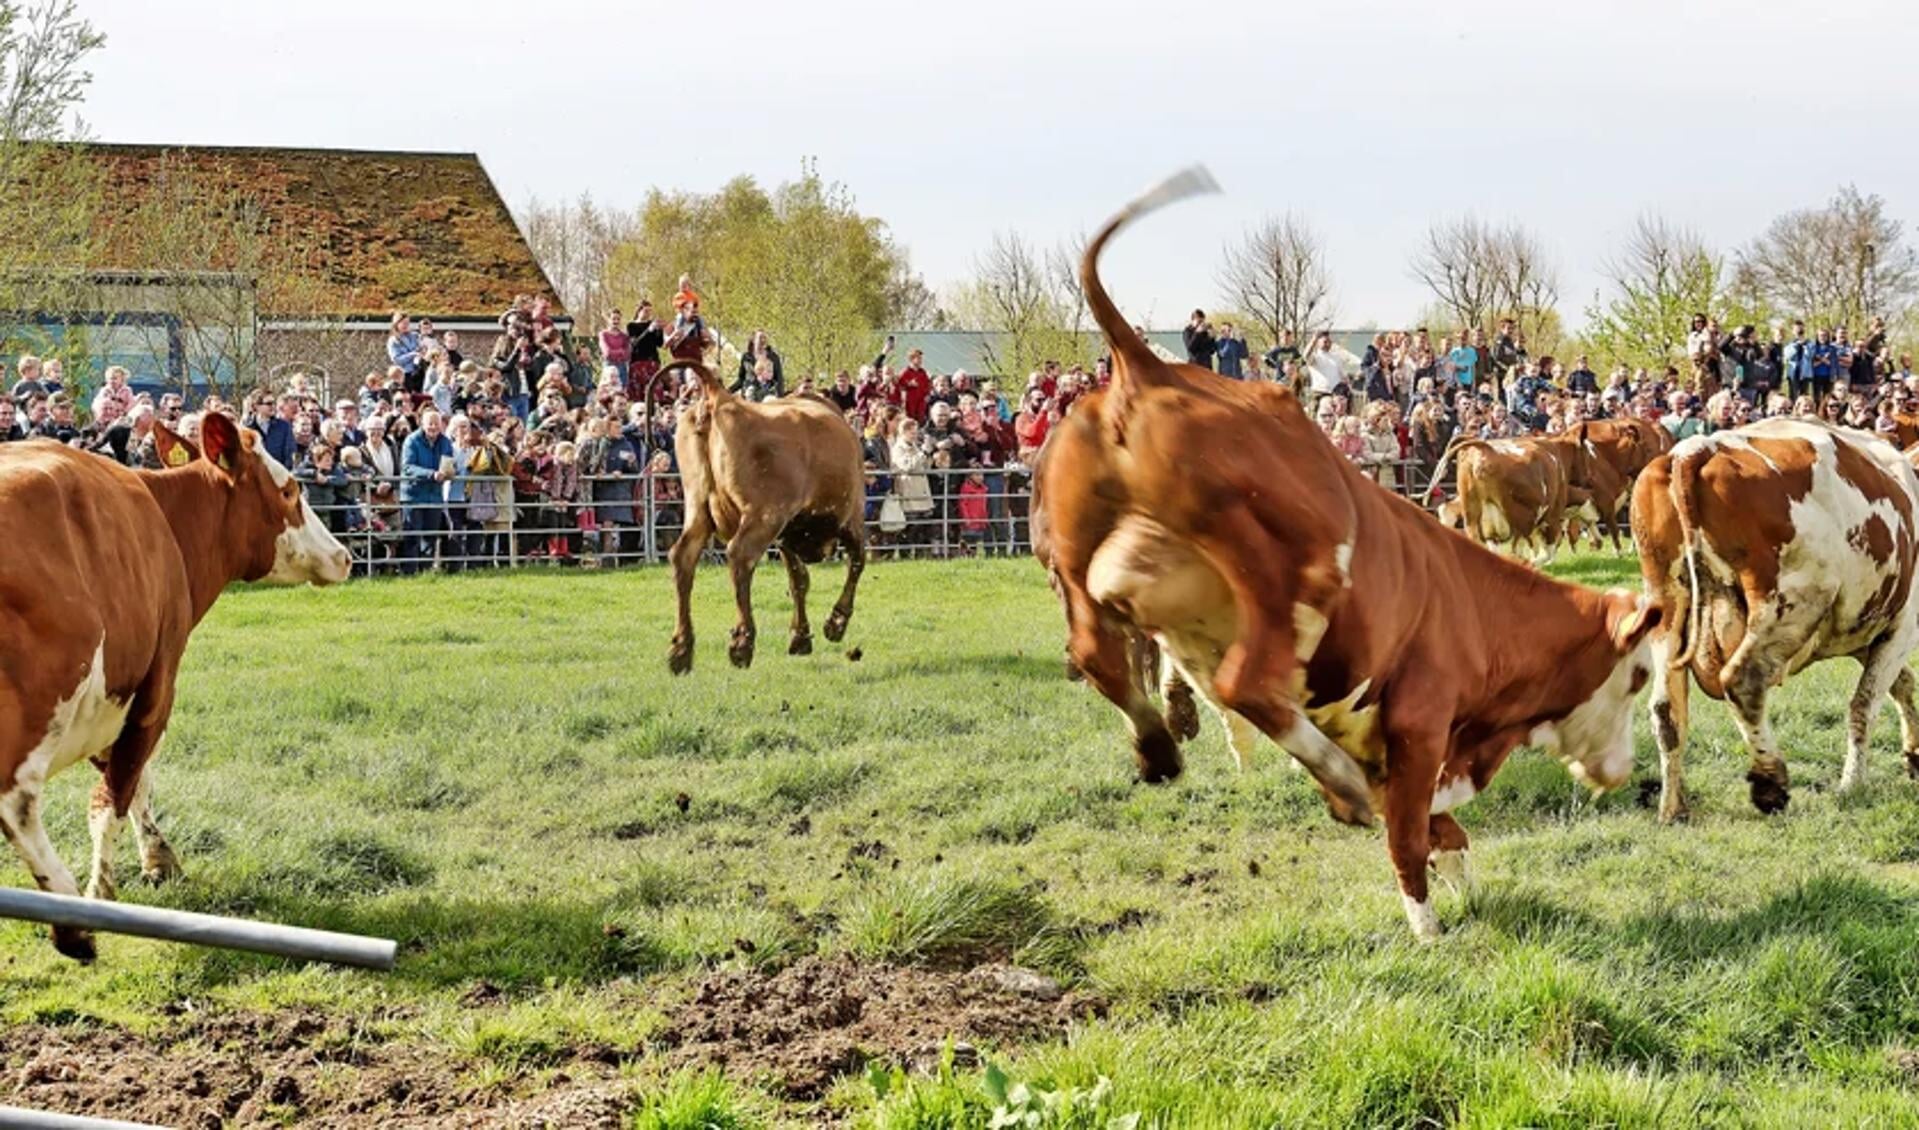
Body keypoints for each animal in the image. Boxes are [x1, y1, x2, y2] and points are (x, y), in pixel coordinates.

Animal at [0, 418, 349, 955]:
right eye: (291, 489)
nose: (344, 556)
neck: (165, 523)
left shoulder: (117, 700)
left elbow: (133, 782)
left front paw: (159, 857)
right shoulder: (157, 688)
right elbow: (115, 795)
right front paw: (103, 891)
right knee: (17, 801)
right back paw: (70, 913)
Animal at [1036, 167, 1665, 940]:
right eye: (1638, 676)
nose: (1624, 771)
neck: (1468, 603)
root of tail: (1149, 366)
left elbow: (1439, 829)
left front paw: (1459, 881)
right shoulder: (1421, 726)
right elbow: (1408, 833)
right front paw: (1427, 928)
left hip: (1076, 563)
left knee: (1102, 657)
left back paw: (1159, 745)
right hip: (1281, 579)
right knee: (1246, 683)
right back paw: (1331, 781)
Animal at [1627, 416, 1919, 821]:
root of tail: (1696, 448)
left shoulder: (1863, 629)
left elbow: (1902, 685)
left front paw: (1914, 755)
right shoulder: (1902, 625)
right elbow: (1865, 702)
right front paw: (1853, 784)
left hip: (1666, 604)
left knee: (1666, 709)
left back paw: (1673, 808)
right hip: (1790, 604)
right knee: (1742, 681)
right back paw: (1771, 783)